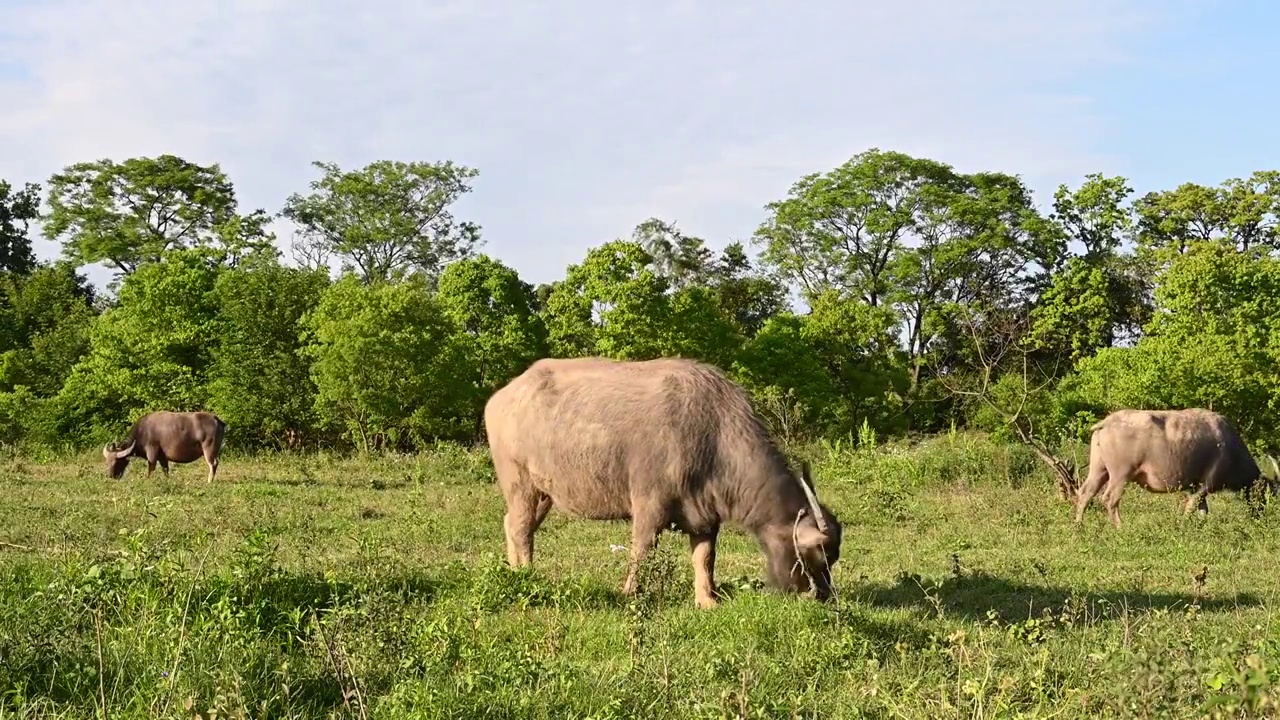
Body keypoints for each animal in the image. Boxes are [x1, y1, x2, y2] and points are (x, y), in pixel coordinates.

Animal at [483, 353, 844, 604]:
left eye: (834, 557)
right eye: (818, 554)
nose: (821, 595)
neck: (712, 436)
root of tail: (501, 397)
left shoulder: (705, 515)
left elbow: (705, 558)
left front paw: (707, 599)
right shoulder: (649, 506)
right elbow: (642, 551)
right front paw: (629, 593)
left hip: (544, 493)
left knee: (514, 525)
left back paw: (515, 570)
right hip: (519, 483)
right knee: (520, 529)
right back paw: (527, 574)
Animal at [1075, 407, 1264, 525]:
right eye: (1263, 493)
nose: (1260, 515)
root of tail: (1105, 422)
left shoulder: (1195, 487)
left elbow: (1203, 510)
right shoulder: (1205, 484)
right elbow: (1192, 506)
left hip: (1099, 469)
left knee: (1085, 493)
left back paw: (1078, 527)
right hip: (1121, 475)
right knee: (1110, 499)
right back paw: (1120, 527)